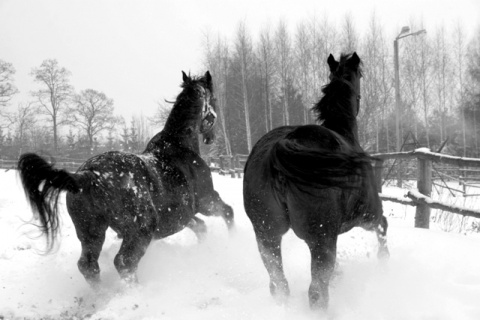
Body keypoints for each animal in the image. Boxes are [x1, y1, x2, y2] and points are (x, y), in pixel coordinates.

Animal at [15, 72, 232, 284]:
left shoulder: (180, 217)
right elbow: (228, 212)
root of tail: (90, 175)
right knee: (124, 263)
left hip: (91, 231)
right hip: (140, 230)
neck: (179, 145)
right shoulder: (207, 201)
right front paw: (233, 240)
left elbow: (201, 227)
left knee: (88, 266)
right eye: (214, 100)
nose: (211, 138)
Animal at [244, 53, 390, 310]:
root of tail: (278, 150)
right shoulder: (366, 214)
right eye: (361, 75)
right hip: (321, 239)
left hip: (267, 235)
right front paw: (385, 260)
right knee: (316, 291)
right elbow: (383, 226)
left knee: (279, 283)